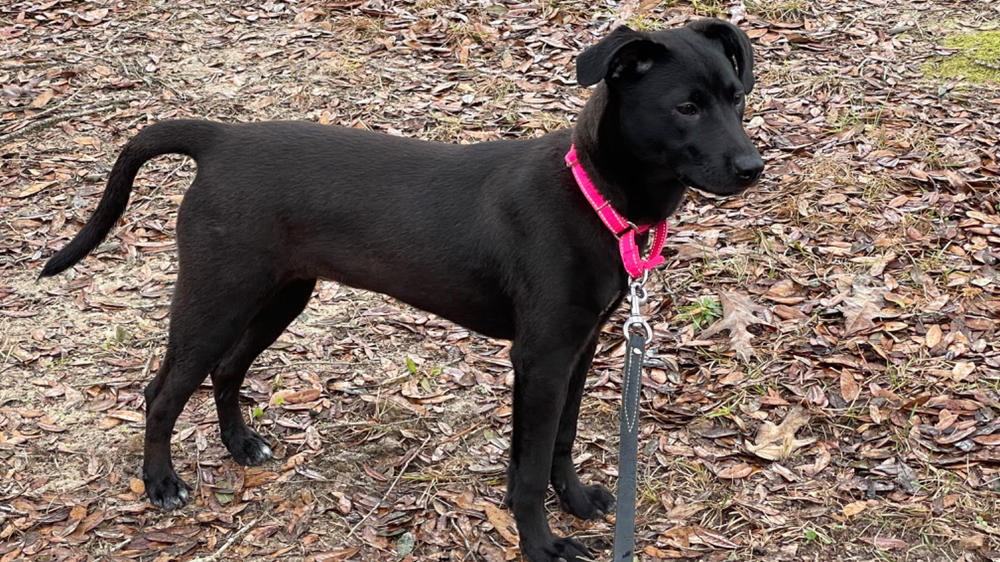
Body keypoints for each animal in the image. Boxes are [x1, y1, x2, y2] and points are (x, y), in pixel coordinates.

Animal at [39, 18, 756, 560]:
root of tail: (219, 139)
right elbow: (525, 468)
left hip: (279, 295)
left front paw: (576, 502)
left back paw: (242, 445)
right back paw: (161, 482)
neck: (592, 196)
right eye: (686, 106)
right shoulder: (541, 357)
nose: (754, 167)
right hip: (217, 295)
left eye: (736, 98)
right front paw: (542, 544)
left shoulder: (578, 350)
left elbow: (561, 440)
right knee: (161, 391)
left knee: (226, 369)